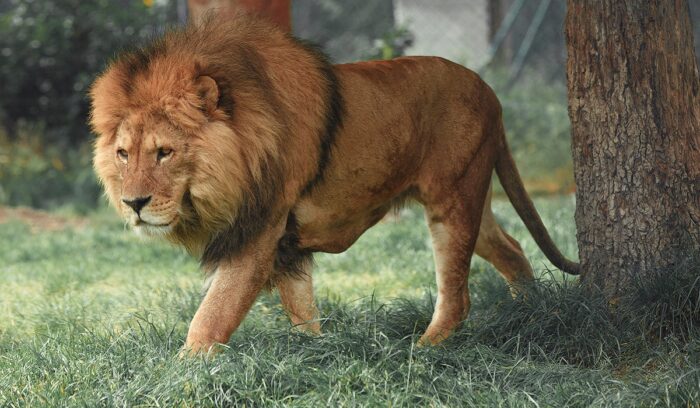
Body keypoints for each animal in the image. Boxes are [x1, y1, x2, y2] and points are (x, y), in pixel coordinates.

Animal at [90, 13, 579, 354]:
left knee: (457, 295)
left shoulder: (259, 232)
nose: (134, 203)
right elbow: (301, 309)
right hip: (471, 194)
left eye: (164, 152)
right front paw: (317, 353)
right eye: (123, 154)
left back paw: (421, 351)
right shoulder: (285, 244)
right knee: (511, 247)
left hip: (453, 198)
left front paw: (183, 372)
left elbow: (213, 315)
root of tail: (489, 91)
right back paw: (531, 312)